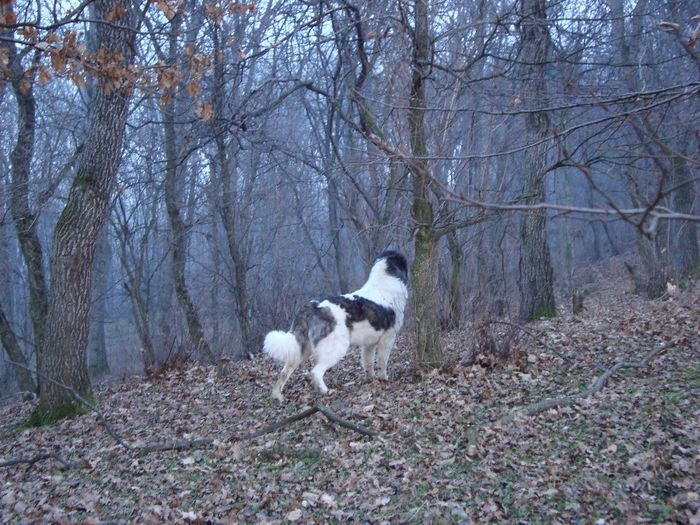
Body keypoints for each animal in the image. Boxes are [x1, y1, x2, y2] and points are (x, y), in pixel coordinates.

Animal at [262, 250, 408, 402]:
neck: (384, 281)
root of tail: (311, 307)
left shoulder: (369, 343)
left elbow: (368, 361)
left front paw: (371, 378)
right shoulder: (388, 337)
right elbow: (382, 361)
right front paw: (383, 378)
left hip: (302, 350)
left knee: (284, 372)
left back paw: (277, 395)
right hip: (336, 349)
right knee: (315, 371)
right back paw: (325, 391)